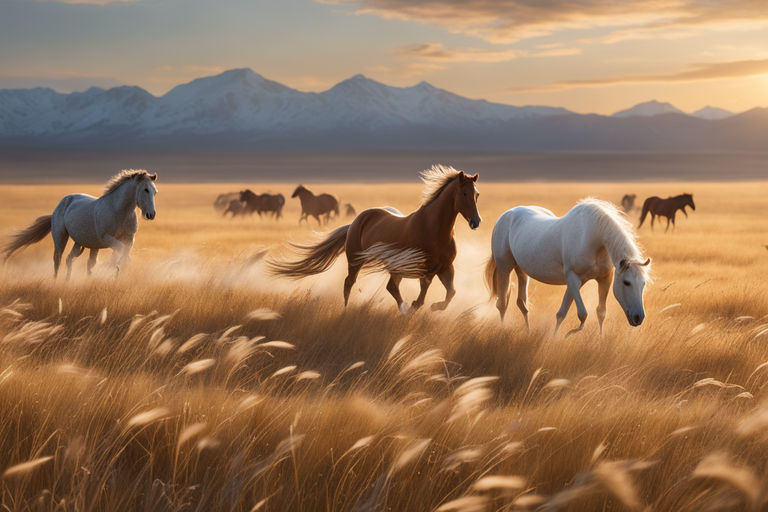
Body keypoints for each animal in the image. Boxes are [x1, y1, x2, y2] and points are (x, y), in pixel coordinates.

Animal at [2, 170, 159, 278]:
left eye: (155, 192)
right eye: (145, 190)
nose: (151, 214)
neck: (119, 211)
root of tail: (60, 204)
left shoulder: (129, 239)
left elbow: (124, 256)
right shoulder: (106, 238)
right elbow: (120, 253)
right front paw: (112, 269)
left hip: (80, 242)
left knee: (70, 259)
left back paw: (70, 282)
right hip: (61, 238)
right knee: (58, 260)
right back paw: (56, 282)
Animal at [272, 166, 480, 314]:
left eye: (477, 194)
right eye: (464, 193)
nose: (476, 222)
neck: (433, 229)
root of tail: (356, 221)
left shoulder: (445, 268)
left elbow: (451, 293)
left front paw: (434, 307)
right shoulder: (425, 270)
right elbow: (421, 299)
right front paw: (414, 307)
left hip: (395, 268)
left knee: (391, 287)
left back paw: (403, 309)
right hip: (356, 261)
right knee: (349, 284)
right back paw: (347, 310)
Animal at [484, 197, 652, 336]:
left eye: (643, 283)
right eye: (626, 282)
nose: (639, 317)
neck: (594, 238)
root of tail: (506, 215)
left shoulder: (604, 279)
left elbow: (598, 312)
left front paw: (600, 338)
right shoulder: (573, 279)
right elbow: (581, 314)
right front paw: (565, 335)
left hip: (522, 271)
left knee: (522, 304)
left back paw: (528, 331)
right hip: (504, 268)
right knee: (502, 304)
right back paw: (502, 330)